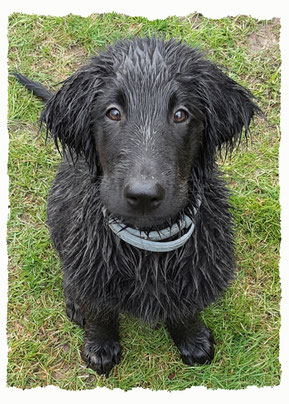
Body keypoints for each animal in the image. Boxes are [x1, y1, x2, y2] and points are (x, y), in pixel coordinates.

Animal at [14, 37, 260, 376]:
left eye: (181, 114)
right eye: (113, 112)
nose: (143, 195)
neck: (147, 245)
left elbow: (185, 308)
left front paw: (192, 339)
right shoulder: (92, 263)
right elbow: (100, 309)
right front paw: (100, 346)